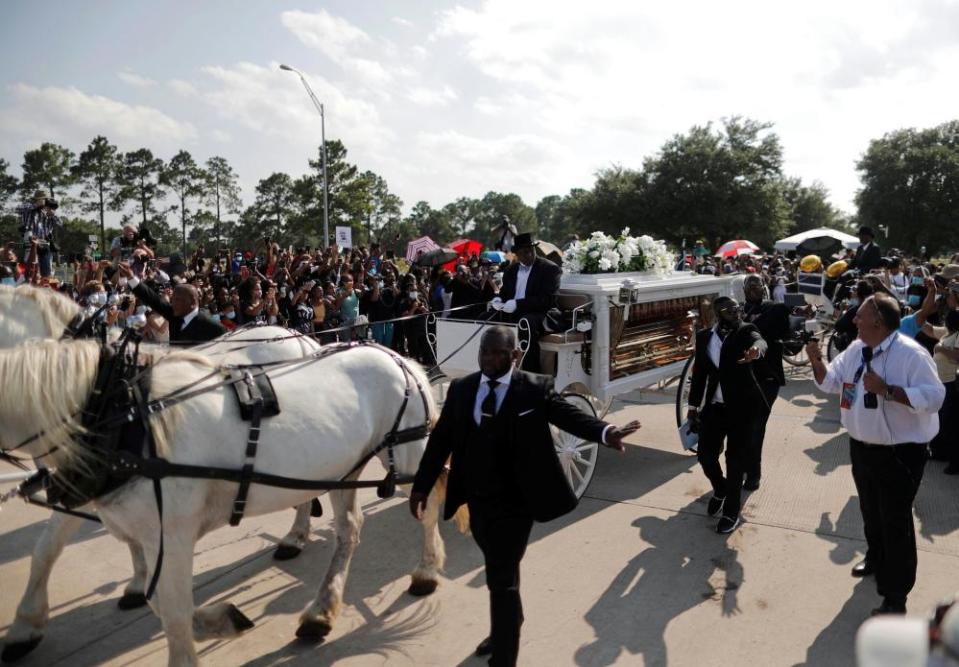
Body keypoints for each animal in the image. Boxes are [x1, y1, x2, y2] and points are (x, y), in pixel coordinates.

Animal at [0, 286, 458, 664]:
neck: (120, 410)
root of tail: (400, 358)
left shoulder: (171, 533)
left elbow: (170, 610)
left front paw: (25, 624)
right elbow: (151, 593)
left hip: (410, 452)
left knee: (428, 497)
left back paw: (425, 571)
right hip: (343, 469)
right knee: (349, 529)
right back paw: (319, 609)